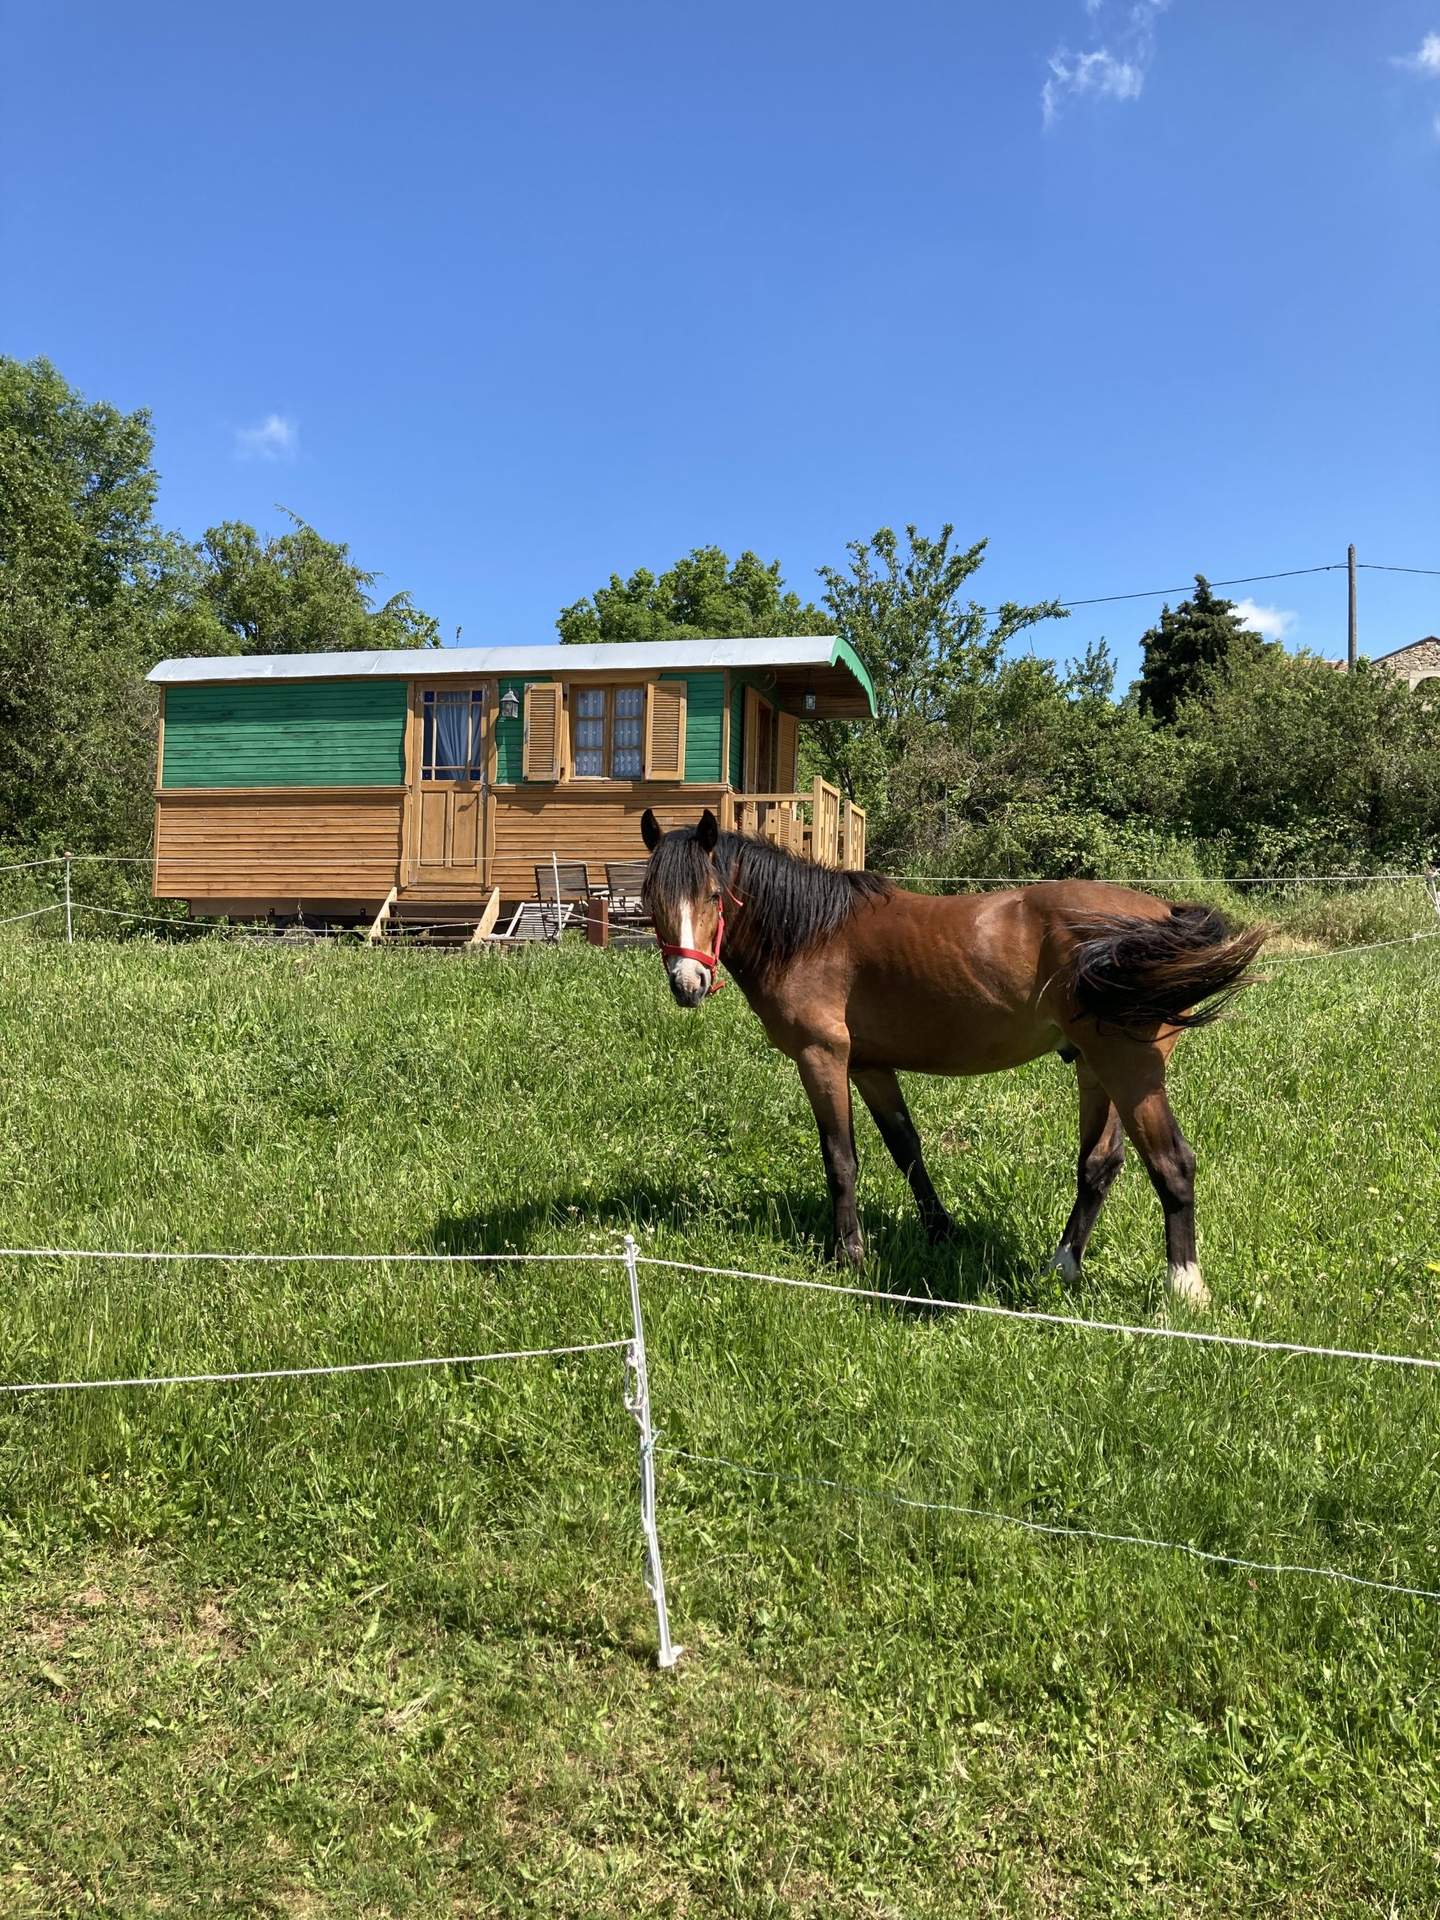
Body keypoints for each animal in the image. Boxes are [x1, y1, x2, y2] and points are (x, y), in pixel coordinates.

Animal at [639, 808, 1264, 1310]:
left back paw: (1185, 1289)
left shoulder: (823, 1058)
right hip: (1094, 1068)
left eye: (713, 895)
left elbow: (840, 1159)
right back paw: (1062, 1267)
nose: (687, 984)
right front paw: (940, 1230)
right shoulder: (869, 1066)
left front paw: (849, 1255)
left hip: (1128, 1068)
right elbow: (906, 1148)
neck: (811, 933)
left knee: (1172, 1163)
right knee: (1099, 1165)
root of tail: (1161, 915)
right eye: (650, 899)